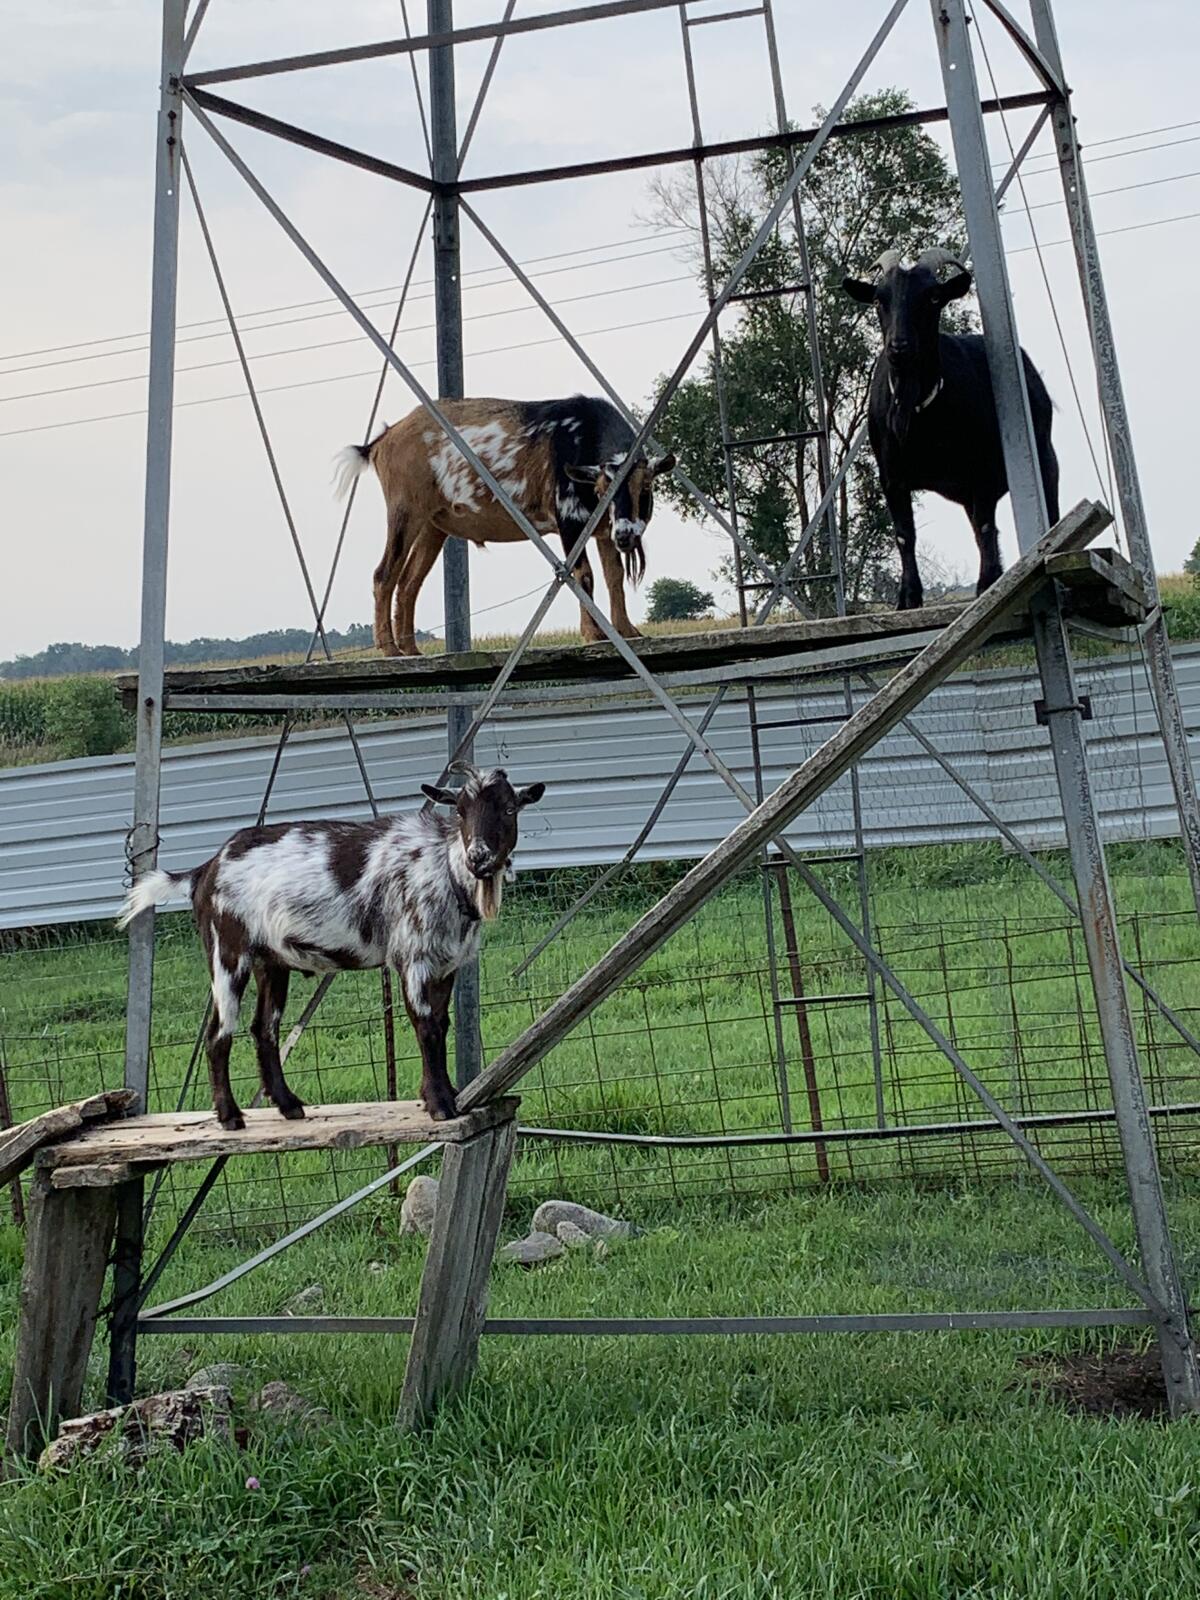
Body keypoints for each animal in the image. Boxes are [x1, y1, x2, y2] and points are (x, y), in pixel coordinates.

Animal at [115, 764, 547, 1126]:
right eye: (459, 810)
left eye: (510, 809)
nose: (479, 858)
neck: (447, 871)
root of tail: (204, 870)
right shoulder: (413, 957)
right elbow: (426, 1027)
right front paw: (441, 1105)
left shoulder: (446, 964)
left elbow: (442, 1023)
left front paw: (443, 1094)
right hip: (227, 952)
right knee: (218, 1032)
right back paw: (230, 1116)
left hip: (272, 962)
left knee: (263, 1028)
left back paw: (289, 1105)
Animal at [334, 398, 681, 656]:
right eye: (601, 489)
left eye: (645, 488)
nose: (626, 535)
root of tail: (384, 439)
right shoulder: (569, 519)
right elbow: (584, 575)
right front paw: (594, 635)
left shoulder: (603, 531)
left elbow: (614, 576)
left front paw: (627, 631)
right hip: (406, 509)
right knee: (384, 573)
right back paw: (390, 649)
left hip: (433, 524)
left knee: (408, 582)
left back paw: (412, 651)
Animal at [844, 248, 1062, 611]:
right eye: (878, 299)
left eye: (933, 297)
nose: (899, 347)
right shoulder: (891, 475)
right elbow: (904, 533)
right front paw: (908, 597)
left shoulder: (982, 469)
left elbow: (986, 527)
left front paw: (986, 586)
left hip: (1045, 457)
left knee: (1049, 511)